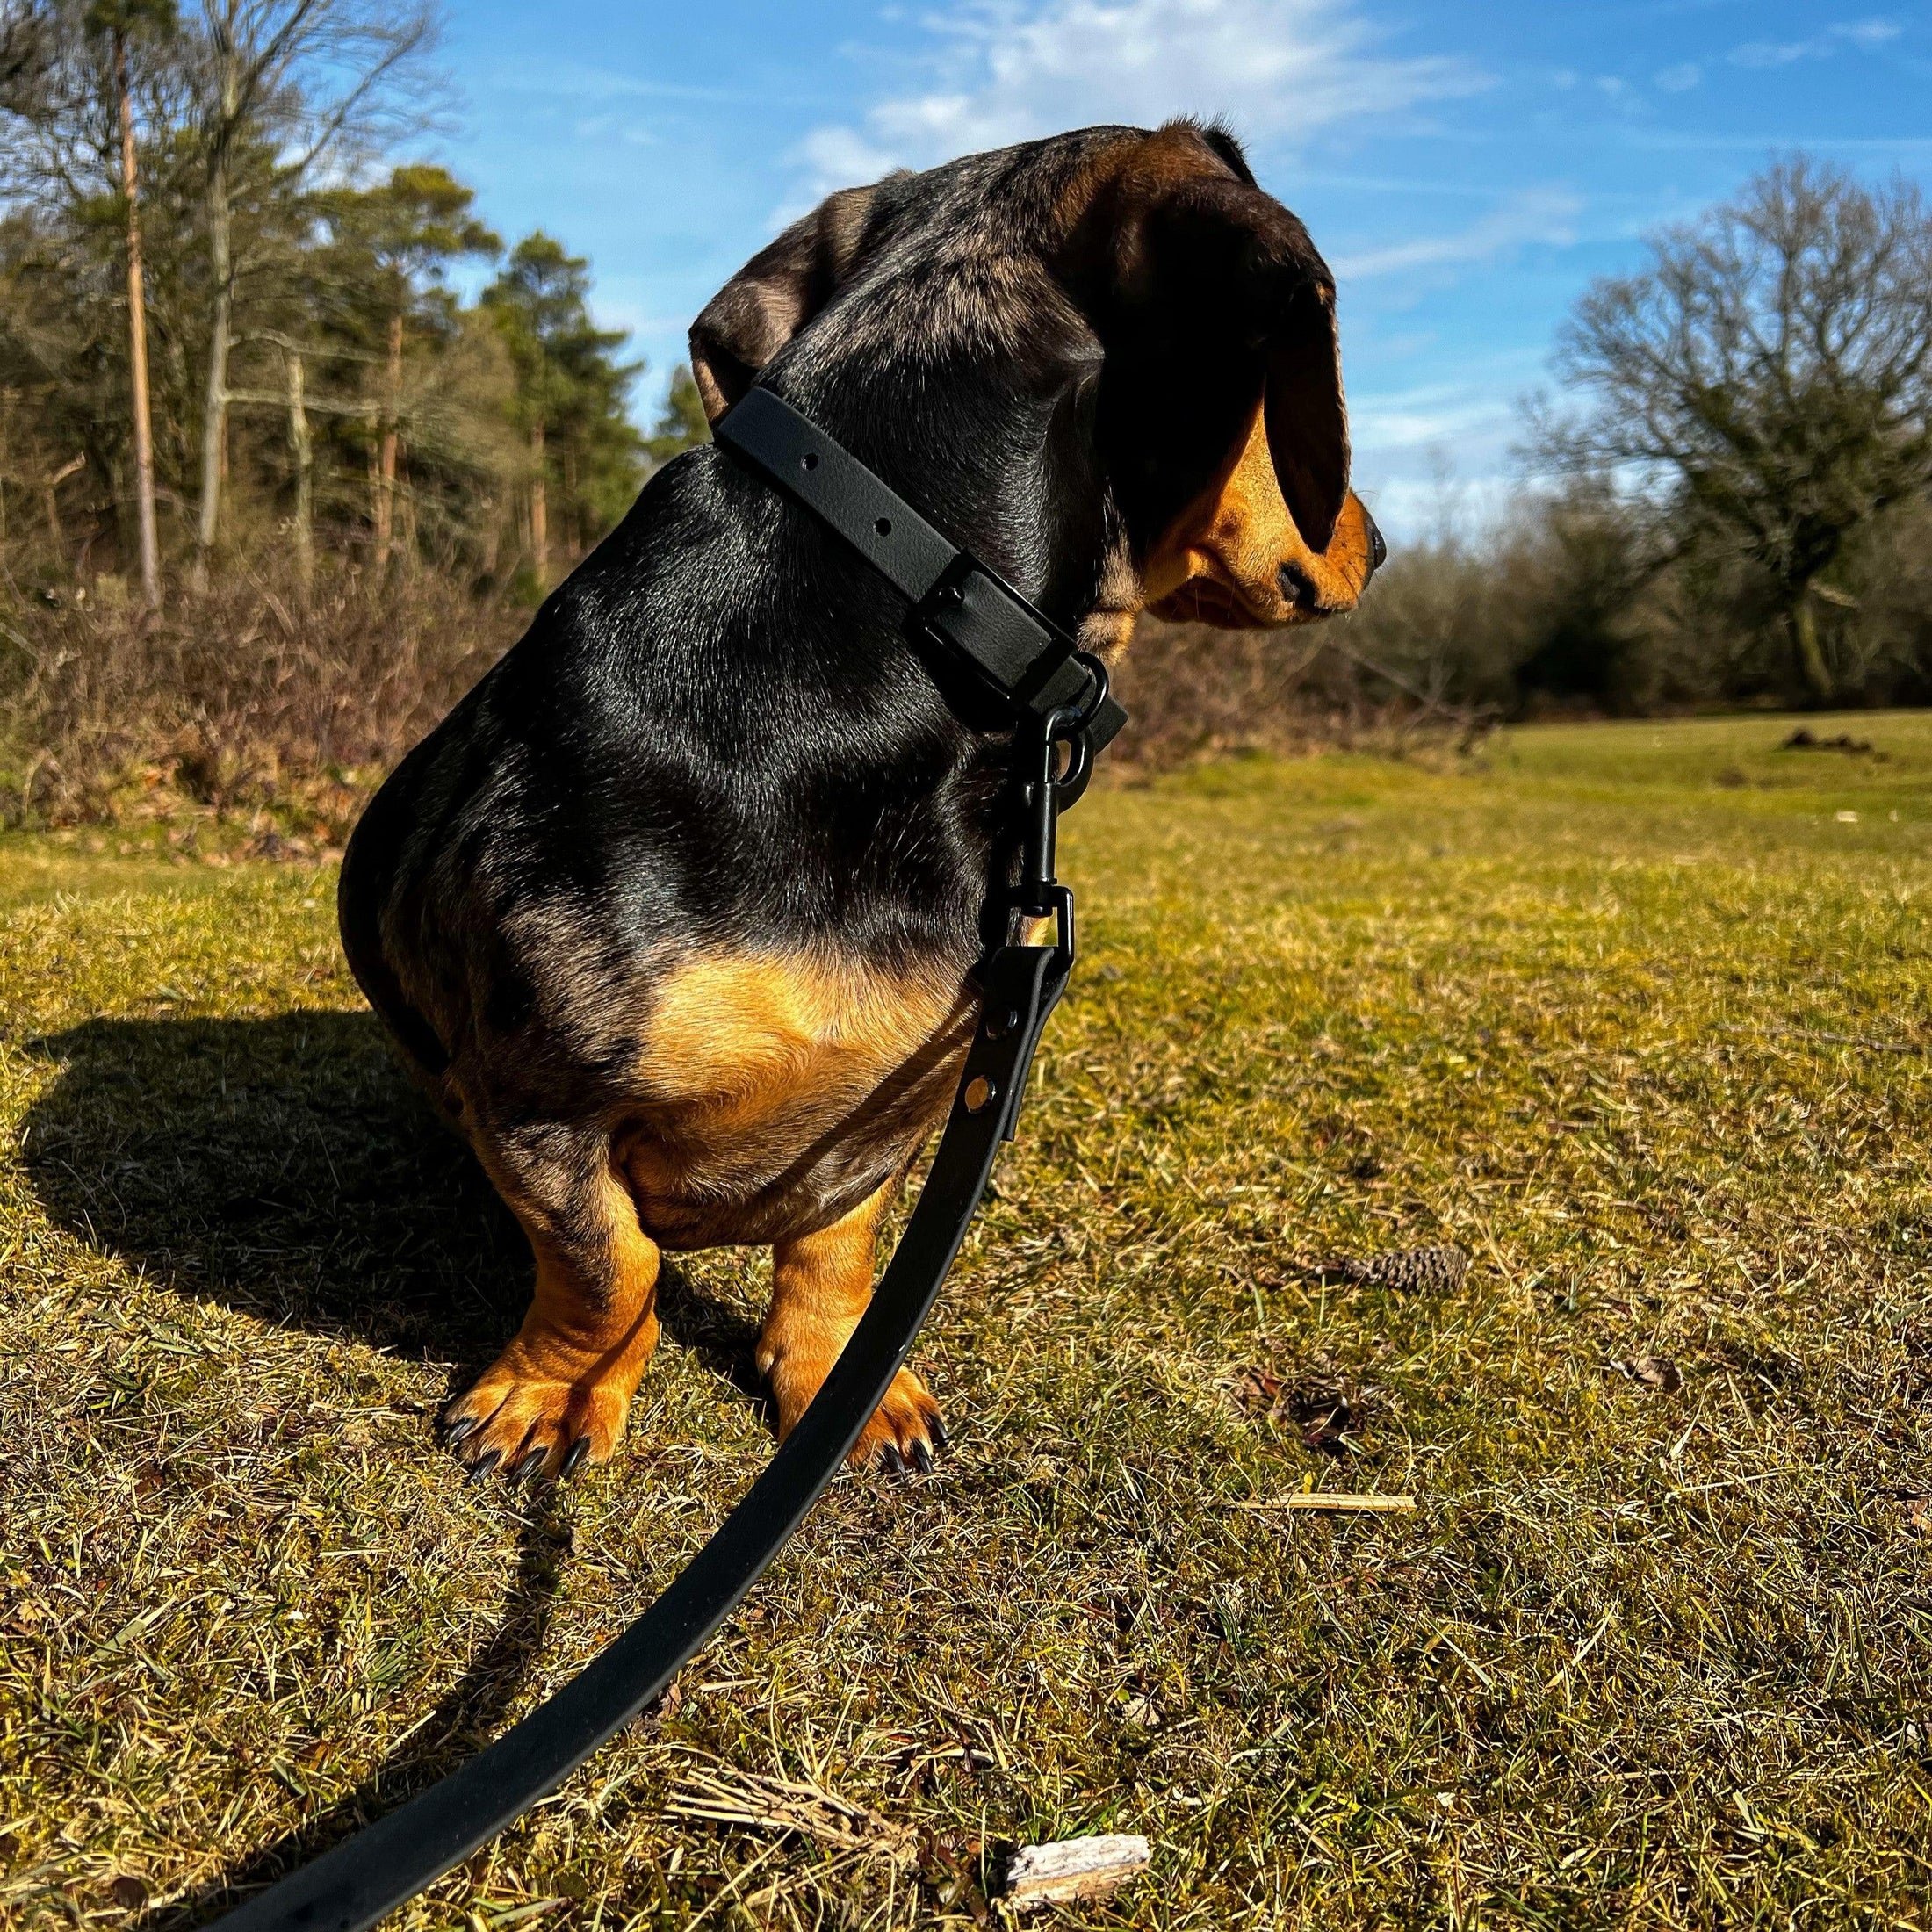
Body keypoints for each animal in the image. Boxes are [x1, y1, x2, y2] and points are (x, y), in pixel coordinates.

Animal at [340, 117, 1383, 1475]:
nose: (1381, 545)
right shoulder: (538, 1105)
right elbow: (609, 1267)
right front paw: (552, 1390)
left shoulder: (891, 1112)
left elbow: (836, 1247)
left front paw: (839, 1379)